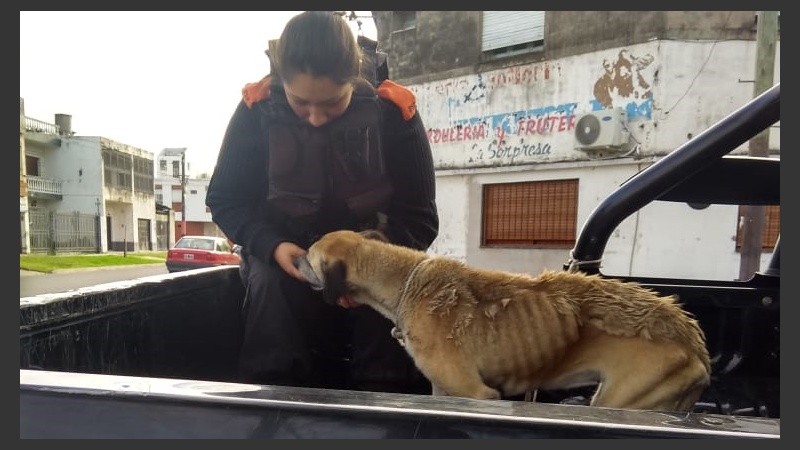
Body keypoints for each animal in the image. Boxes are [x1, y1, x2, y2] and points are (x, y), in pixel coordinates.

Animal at [296, 230, 708, 414]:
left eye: (310, 254)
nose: (293, 256)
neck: (407, 280)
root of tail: (693, 340)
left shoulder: (476, 394)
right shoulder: (442, 391)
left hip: (622, 399)